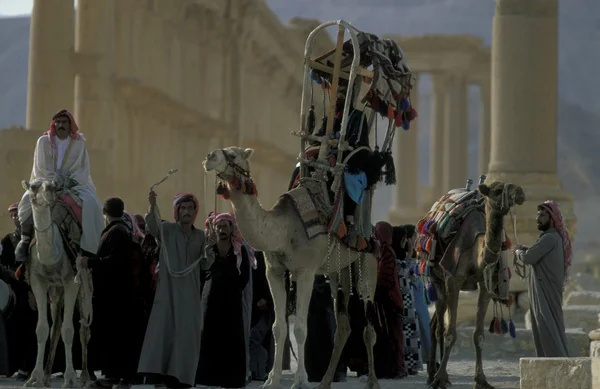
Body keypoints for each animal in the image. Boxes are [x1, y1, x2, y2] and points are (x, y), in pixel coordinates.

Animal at [21, 179, 92, 388]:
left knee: (84, 327)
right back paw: (46, 376)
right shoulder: (38, 282)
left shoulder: (71, 282)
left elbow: (69, 330)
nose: (51, 189)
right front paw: (34, 377)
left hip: (85, 283)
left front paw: (69, 378)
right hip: (55, 290)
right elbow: (42, 329)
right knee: (56, 325)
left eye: (53, 183)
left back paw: (85, 377)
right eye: (33, 187)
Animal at [202, 146, 380, 388]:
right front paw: (272, 380)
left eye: (234, 154)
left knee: (368, 324)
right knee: (343, 324)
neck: (283, 230)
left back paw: (372, 382)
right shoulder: (274, 271)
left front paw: (300, 380)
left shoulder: (306, 271)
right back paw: (325, 382)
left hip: (368, 261)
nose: (209, 157)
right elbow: (278, 328)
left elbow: (301, 329)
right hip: (338, 270)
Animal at [426, 182, 524, 388]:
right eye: (497, 190)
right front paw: (440, 378)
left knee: (435, 324)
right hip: (436, 280)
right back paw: (434, 376)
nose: (519, 192)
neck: (476, 255)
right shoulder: (453, 280)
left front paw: (481, 380)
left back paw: (438, 373)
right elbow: (450, 334)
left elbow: (478, 335)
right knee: (439, 328)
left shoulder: (486, 286)